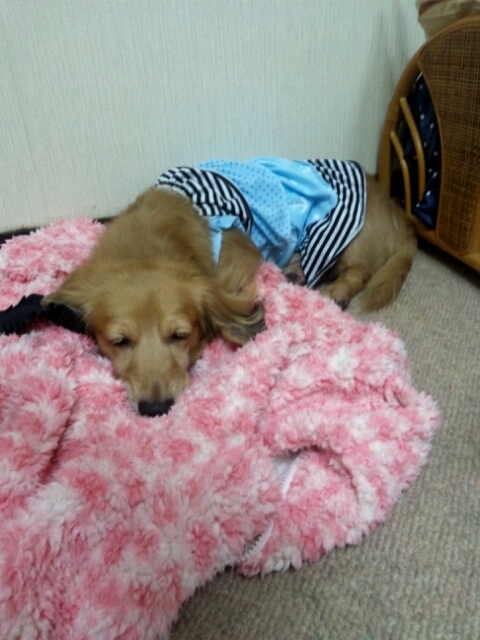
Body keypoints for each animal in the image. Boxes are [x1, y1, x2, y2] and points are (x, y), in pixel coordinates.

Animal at [43, 157, 416, 416]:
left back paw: (332, 290)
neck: (151, 241)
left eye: (180, 335)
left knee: (359, 272)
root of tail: (399, 214)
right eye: (119, 342)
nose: (156, 409)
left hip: (349, 239)